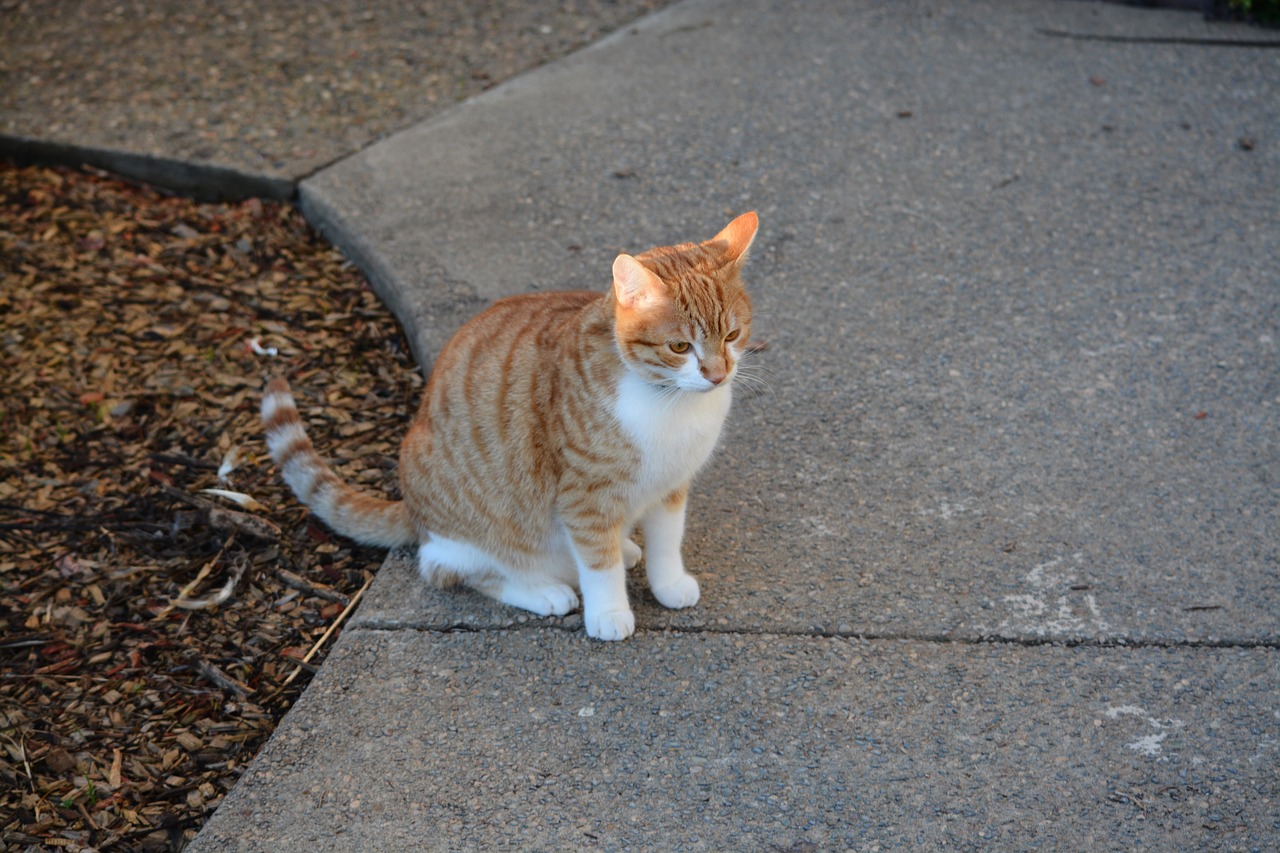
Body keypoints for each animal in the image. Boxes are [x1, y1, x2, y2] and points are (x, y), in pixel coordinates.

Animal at [262, 211, 757, 637]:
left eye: (732, 336)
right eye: (679, 347)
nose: (717, 375)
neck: (670, 403)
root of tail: (413, 511)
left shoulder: (671, 485)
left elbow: (667, 542)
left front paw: (667, 582)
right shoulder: (584, 496)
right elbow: (598, 564)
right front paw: (609, 612)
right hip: (470, 537)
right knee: (452, 571)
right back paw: (545, 591)